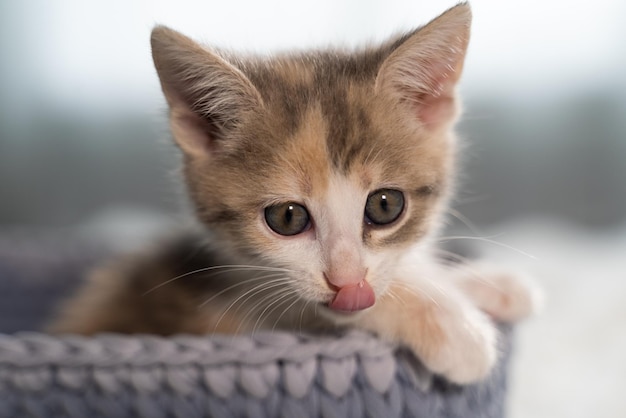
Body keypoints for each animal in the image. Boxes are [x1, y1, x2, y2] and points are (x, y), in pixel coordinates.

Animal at [50, 4, 536, 386]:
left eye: (386, 206)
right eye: (286, 218)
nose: (347, 284)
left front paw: (487, 284)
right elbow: (314, 309)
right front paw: (454, 327)